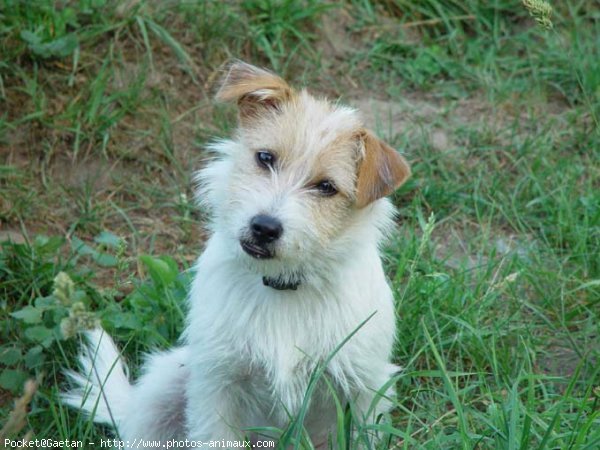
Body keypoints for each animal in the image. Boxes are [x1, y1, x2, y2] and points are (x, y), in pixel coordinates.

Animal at [63, 61, 410, 448]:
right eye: (265, 157)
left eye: (326, 187)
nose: (264, 227)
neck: (283, 288)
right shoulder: (217, 384)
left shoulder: (364, 387)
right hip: (167, 382)